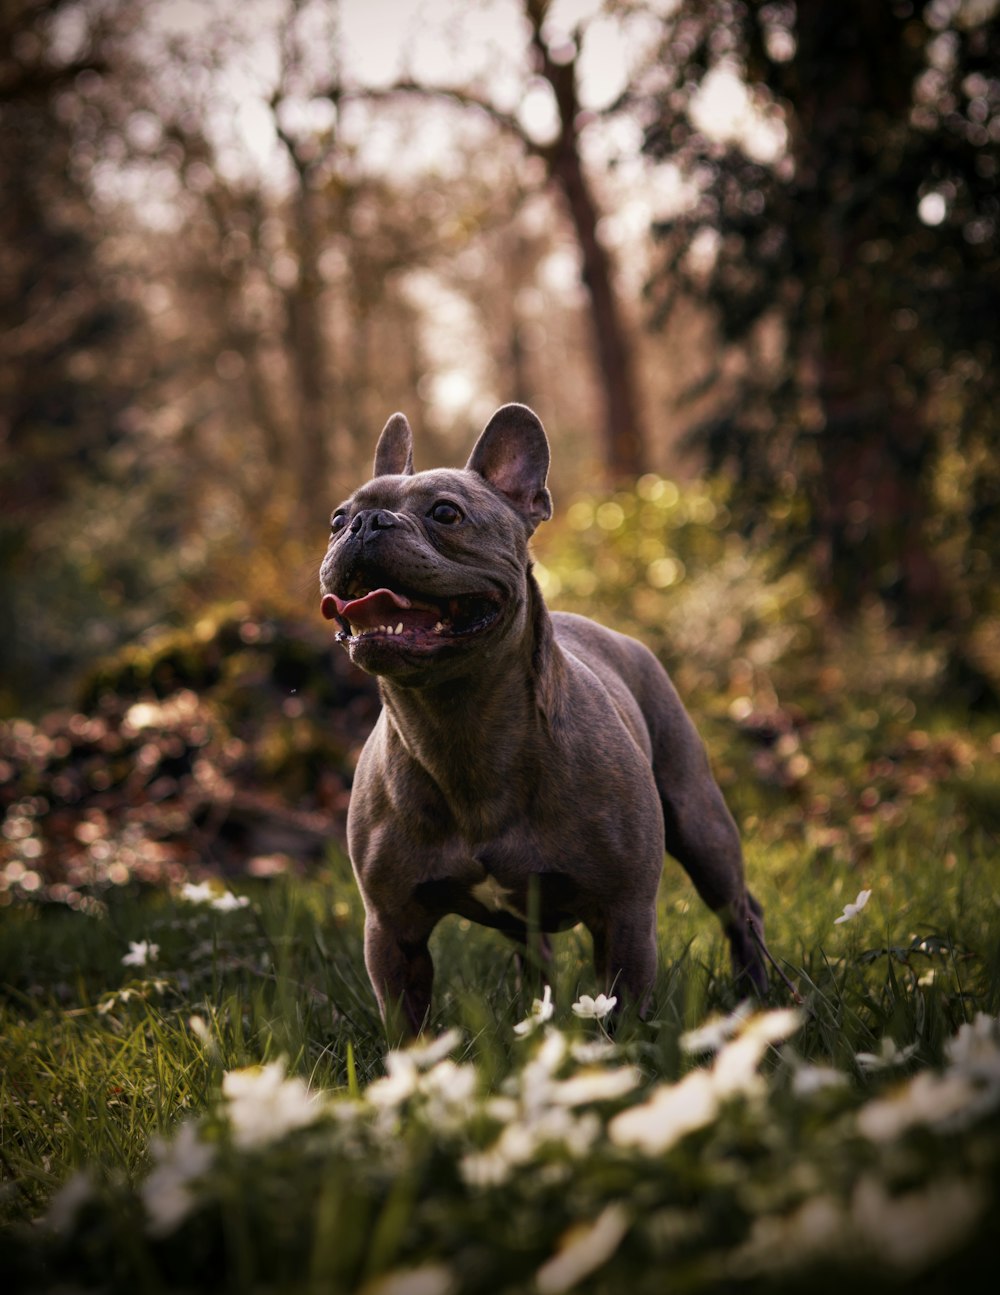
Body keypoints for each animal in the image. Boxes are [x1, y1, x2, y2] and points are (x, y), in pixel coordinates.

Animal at [318, 398, 766, 1036]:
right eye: (337, 519)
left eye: (446, 513)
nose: (366, 523)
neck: (458, 724)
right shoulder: (392, 930)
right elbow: (407, 1027)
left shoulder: (625, 916)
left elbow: (622, 1011)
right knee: (537, 958)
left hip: (702, 825)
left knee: (740, 911)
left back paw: (760, 993)